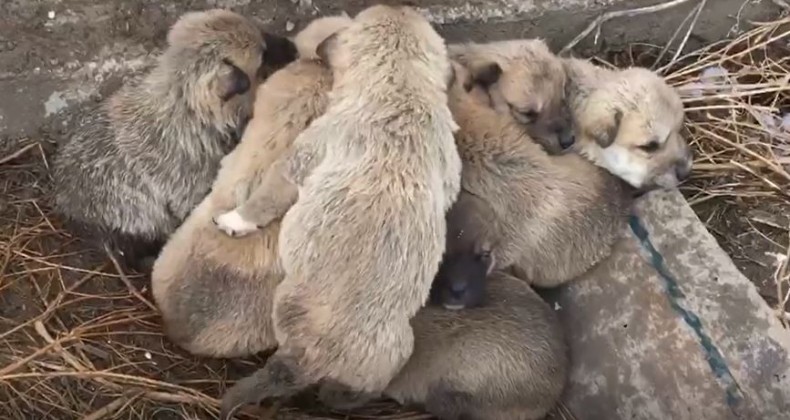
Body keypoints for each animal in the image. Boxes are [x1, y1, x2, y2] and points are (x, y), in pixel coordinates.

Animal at [217, 4, 464, 418]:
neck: (402, 92)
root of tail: (316, 359)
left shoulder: (298, 161)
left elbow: (264, 200)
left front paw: (235, 221)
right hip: (395, 353)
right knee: (345, 394)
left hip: (286, 302)